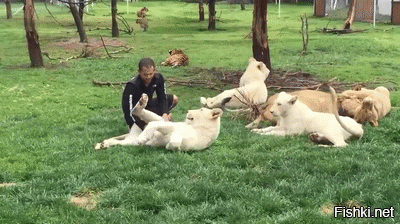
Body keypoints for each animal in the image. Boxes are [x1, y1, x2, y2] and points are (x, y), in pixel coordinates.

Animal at [95, 93, 223, 151]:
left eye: (201, 109)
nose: (188, 111)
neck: (199, 128)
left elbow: (174, 143)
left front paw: (168, 145)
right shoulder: (171, 124)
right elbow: (156, 123)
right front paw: (145, 137)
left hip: (131, 141)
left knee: (122, 142)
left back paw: (103, 144)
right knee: (148, 116)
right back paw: (141, 103)